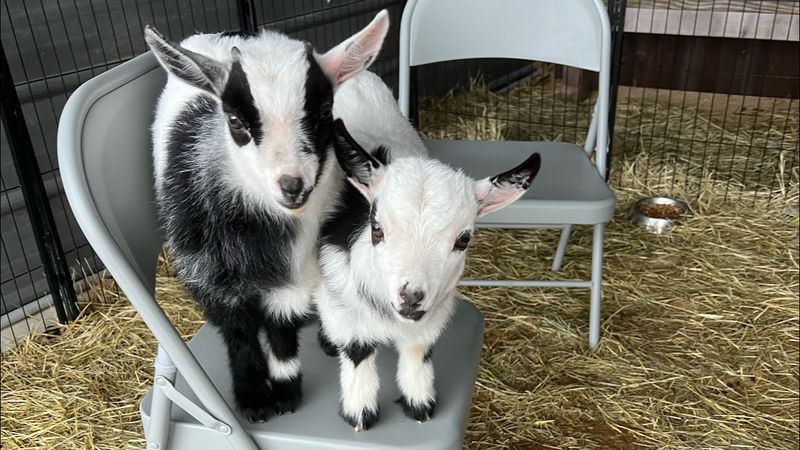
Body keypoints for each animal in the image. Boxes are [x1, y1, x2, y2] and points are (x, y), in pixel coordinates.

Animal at [143, 11, 389, 423]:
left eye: (324, 112)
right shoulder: (207, 271)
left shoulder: (296, 270)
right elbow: (239, 331)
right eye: (235, 120)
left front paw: (286, 390)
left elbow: (281, 327)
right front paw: (254, 398)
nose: (292, 185)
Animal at [316, 71, 541, 431]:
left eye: (463, 239)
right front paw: (359, 412)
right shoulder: (338, 296)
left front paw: (419, 404)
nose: (410, 296)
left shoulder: (432, 314)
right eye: (376, 228)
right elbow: (357, 352)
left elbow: (418, 350)